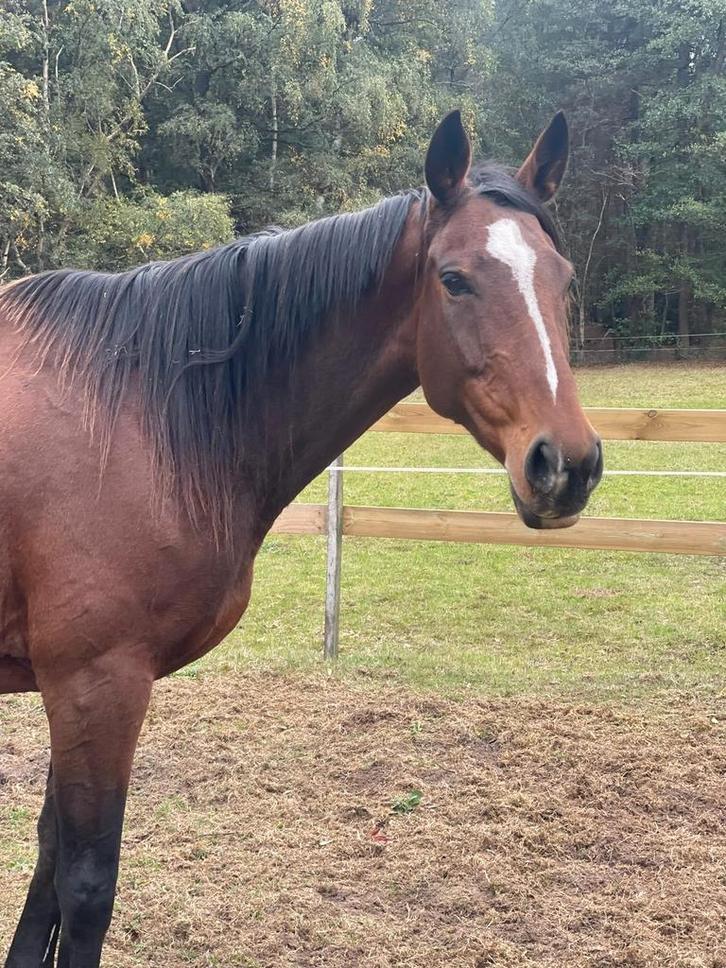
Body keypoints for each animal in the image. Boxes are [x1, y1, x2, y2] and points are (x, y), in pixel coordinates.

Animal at [1, 109, 602, 967]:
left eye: (563, 278)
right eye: (454, 279)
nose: (568, 465)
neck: (137, 414)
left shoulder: (76, 686)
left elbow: (49, 862)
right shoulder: (96, 682)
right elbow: (84, 886)